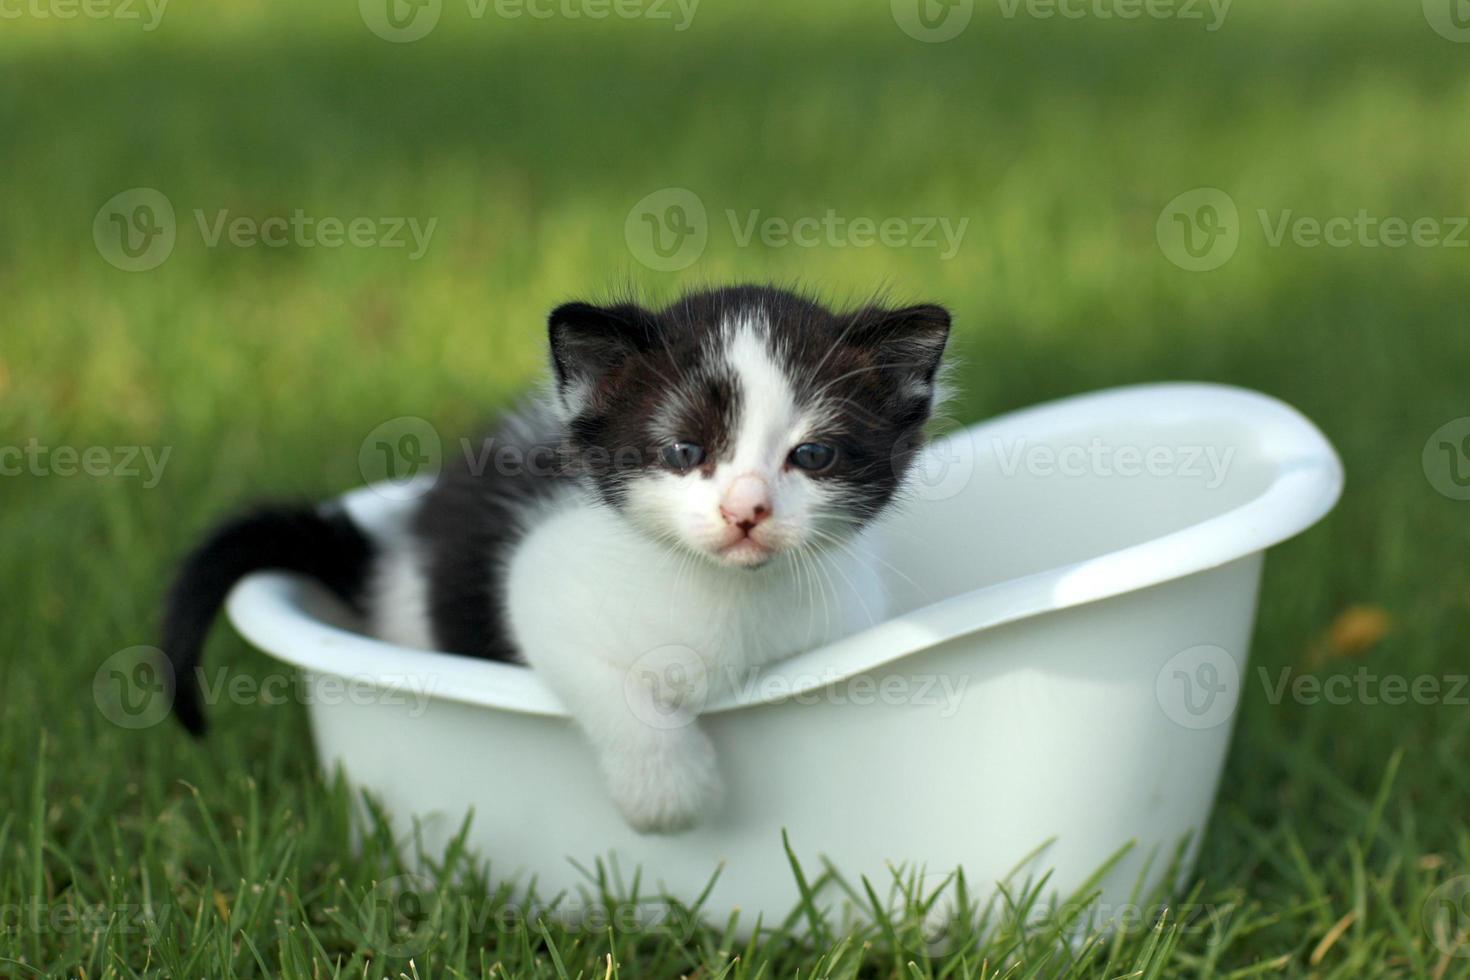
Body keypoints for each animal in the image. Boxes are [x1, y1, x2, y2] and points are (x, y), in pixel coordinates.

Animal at [163, 285, 952, 834]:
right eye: (685, 451)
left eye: (812, 456)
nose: (745, 511)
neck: (729, 596)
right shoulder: (544, 578)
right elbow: (608, 683)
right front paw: (669, 796)